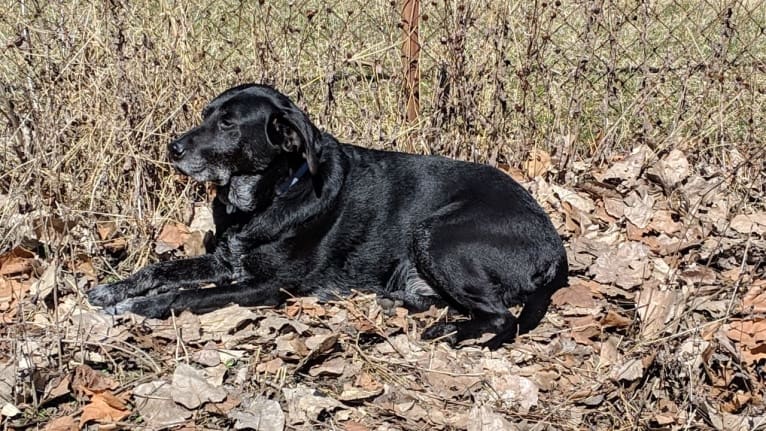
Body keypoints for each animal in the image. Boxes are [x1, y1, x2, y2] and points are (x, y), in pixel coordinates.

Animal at [90, 84, 568, 352]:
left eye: (228, 124)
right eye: (206, 114)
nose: (172, 148)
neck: (268, 195)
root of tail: (557, 248)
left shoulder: (266, 286)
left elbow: (185, 296)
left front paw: (137, 307)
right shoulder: (225, 261)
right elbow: (159, 269)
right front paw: (112, 289)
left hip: (438, 235)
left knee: (501, 316)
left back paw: (449, 331)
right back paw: (404, 304)